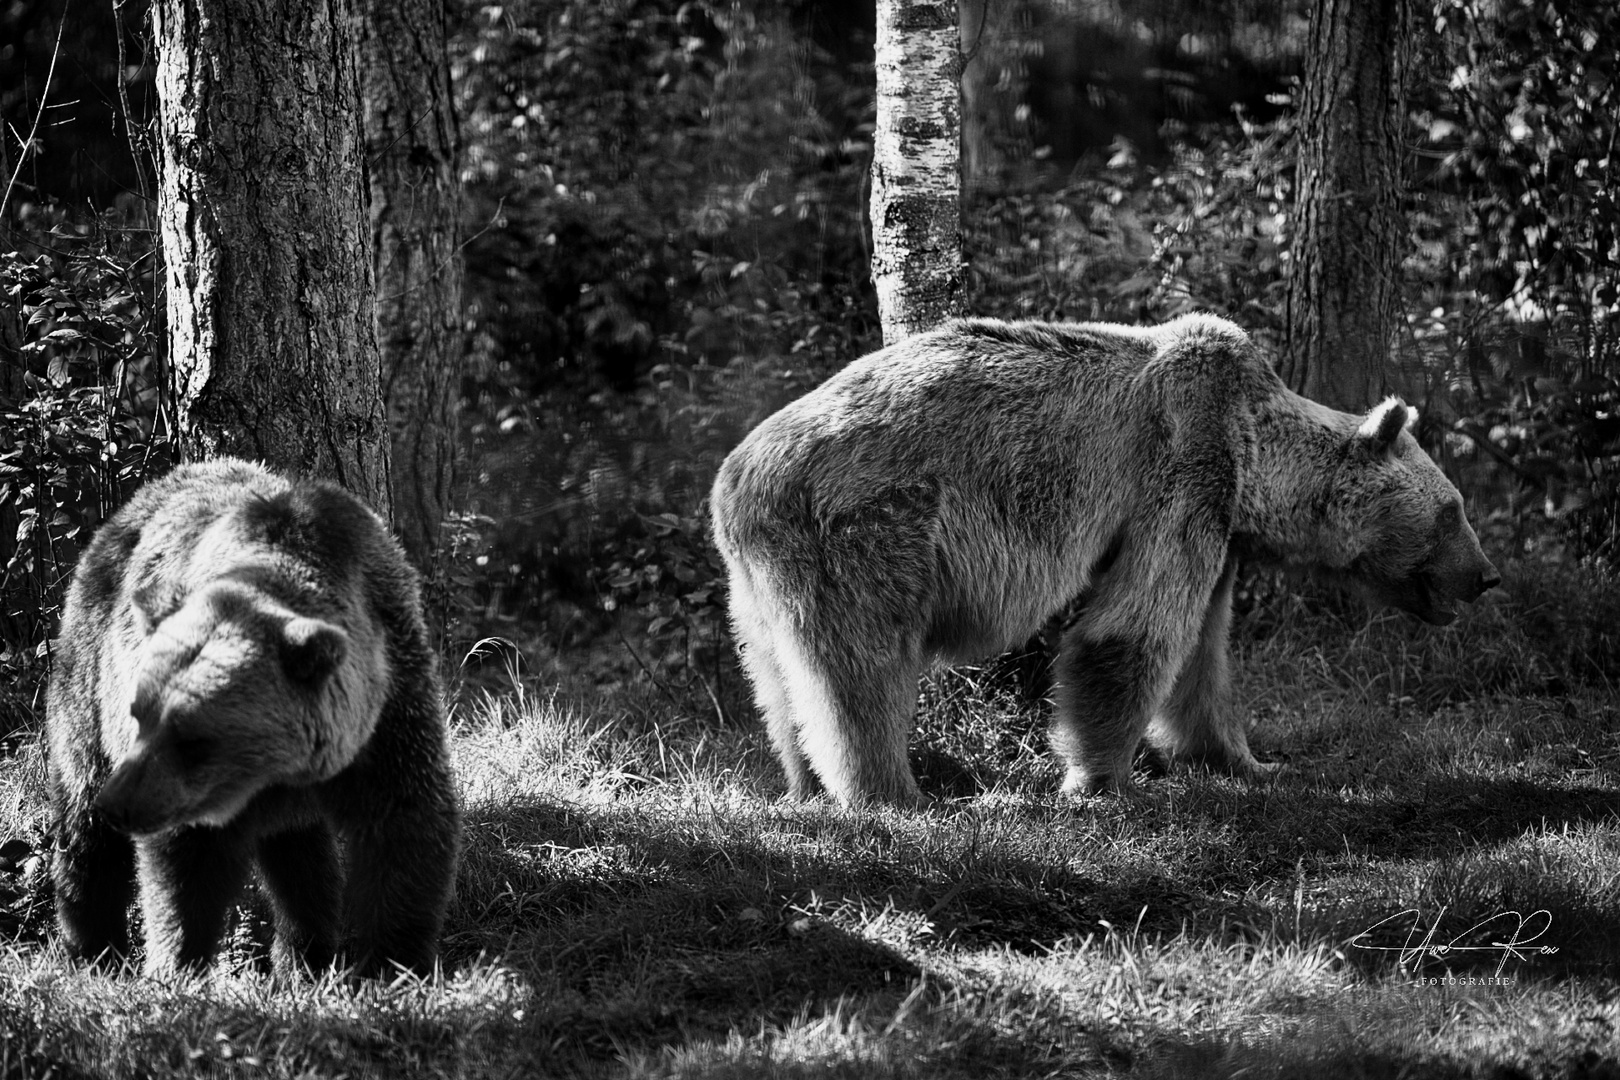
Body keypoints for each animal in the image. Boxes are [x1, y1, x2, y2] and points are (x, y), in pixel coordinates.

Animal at [45, 456, 463, 977]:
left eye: (191, 736)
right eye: (139, 714)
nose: (120, 803)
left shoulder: (389, 711)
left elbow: (403, 829)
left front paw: (394, 963)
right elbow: (186, 865)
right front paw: (177, 962)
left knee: (302, 863)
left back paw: (303, 955)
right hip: (88, 670)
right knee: (82, 818)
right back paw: (93, 947)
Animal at [716, 310, 1496, 803]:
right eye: (1453, 508)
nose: (1486, 576)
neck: (1254, 464)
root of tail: (733, 480)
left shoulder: (1221, 532)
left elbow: (1203, 656)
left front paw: (1247, 760)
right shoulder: (1185, 469)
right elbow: (1133, 630)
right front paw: (1101, 779)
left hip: (755, 586)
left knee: (779, 684)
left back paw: (801, 781)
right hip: (867, 531)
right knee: (861, 671)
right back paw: (892, 792)